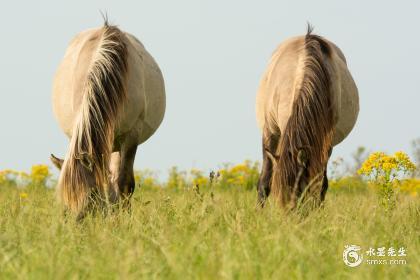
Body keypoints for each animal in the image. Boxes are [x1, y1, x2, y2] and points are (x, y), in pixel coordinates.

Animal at [50, 21, 165, 217]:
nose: (76, 224)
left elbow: (124, 183)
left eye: (91, 196)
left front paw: (122, 218)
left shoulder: (131, 135)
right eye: (64, 205)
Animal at [256, 26, 358, 209]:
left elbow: (319, 184)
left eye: (300, 191)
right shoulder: (270, 132)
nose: (290, 215)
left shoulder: (324, 142)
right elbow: (264, 180)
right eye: (278, 195)